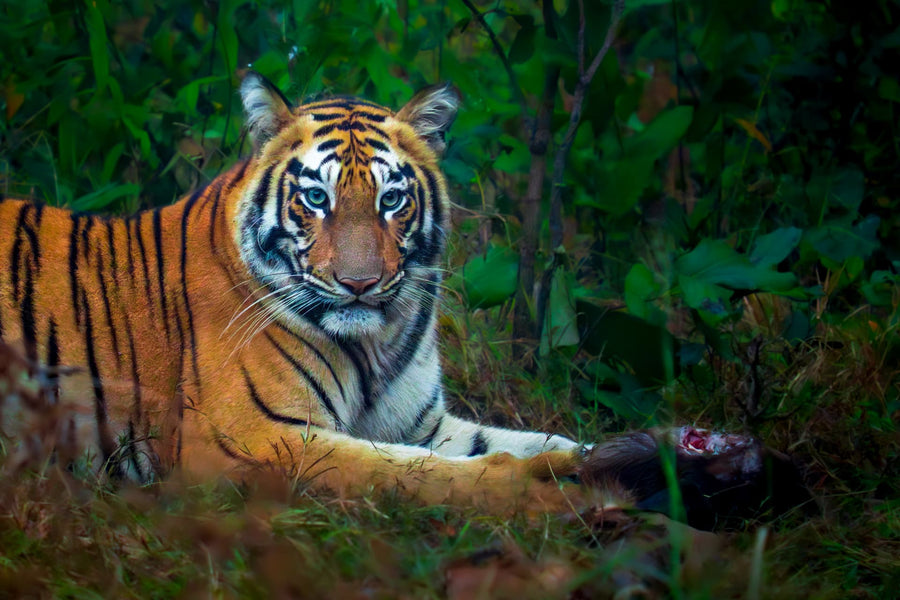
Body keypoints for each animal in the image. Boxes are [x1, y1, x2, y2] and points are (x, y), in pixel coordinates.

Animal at [0, 72, 794, 520]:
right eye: (315, 198)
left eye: (391, 200)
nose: (359, 281)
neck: (375, 341)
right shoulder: (248, 436)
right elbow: (410, 476)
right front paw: (536, 491)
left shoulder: (421, 421)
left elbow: (542, 440)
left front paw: (679, 455)